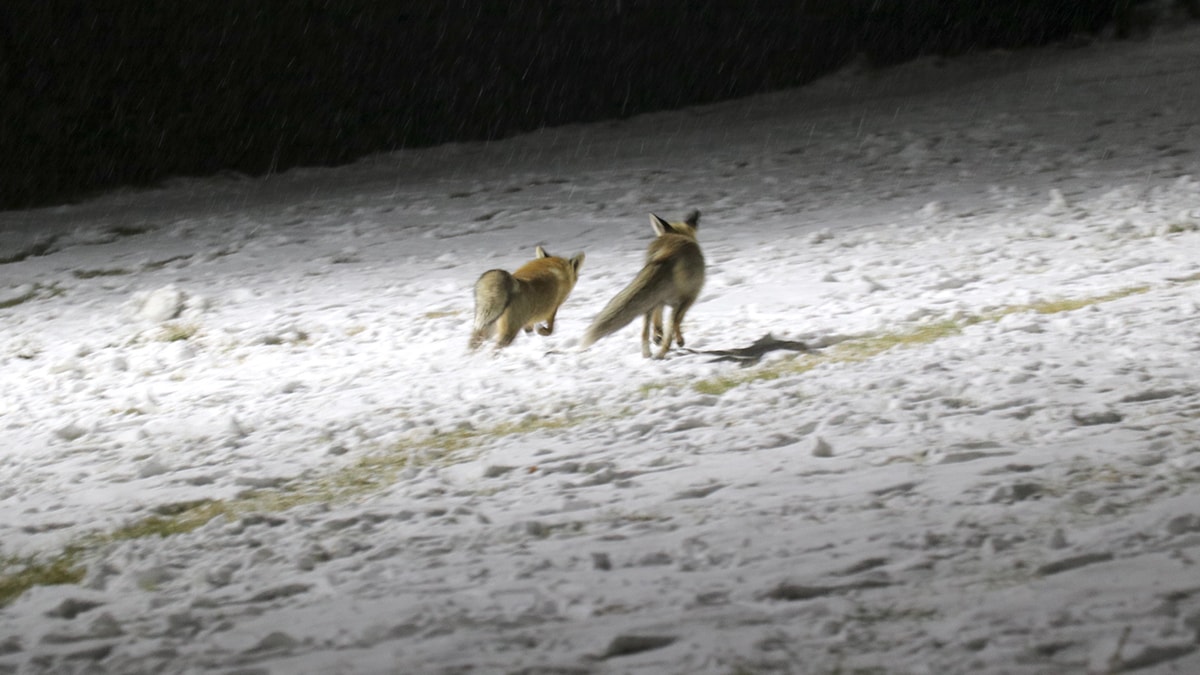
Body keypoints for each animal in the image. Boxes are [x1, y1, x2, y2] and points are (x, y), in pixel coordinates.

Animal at [580, 208, 700, 357]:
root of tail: (668, 251)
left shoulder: (659, 298)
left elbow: (657, 319)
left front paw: (657, 336)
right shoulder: (687, 298)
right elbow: (676, 322)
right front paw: (678, 340)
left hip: (650, 297)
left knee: (644, 331)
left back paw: (648, 354)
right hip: (683, 298)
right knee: (671, 325)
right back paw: (662, 353)